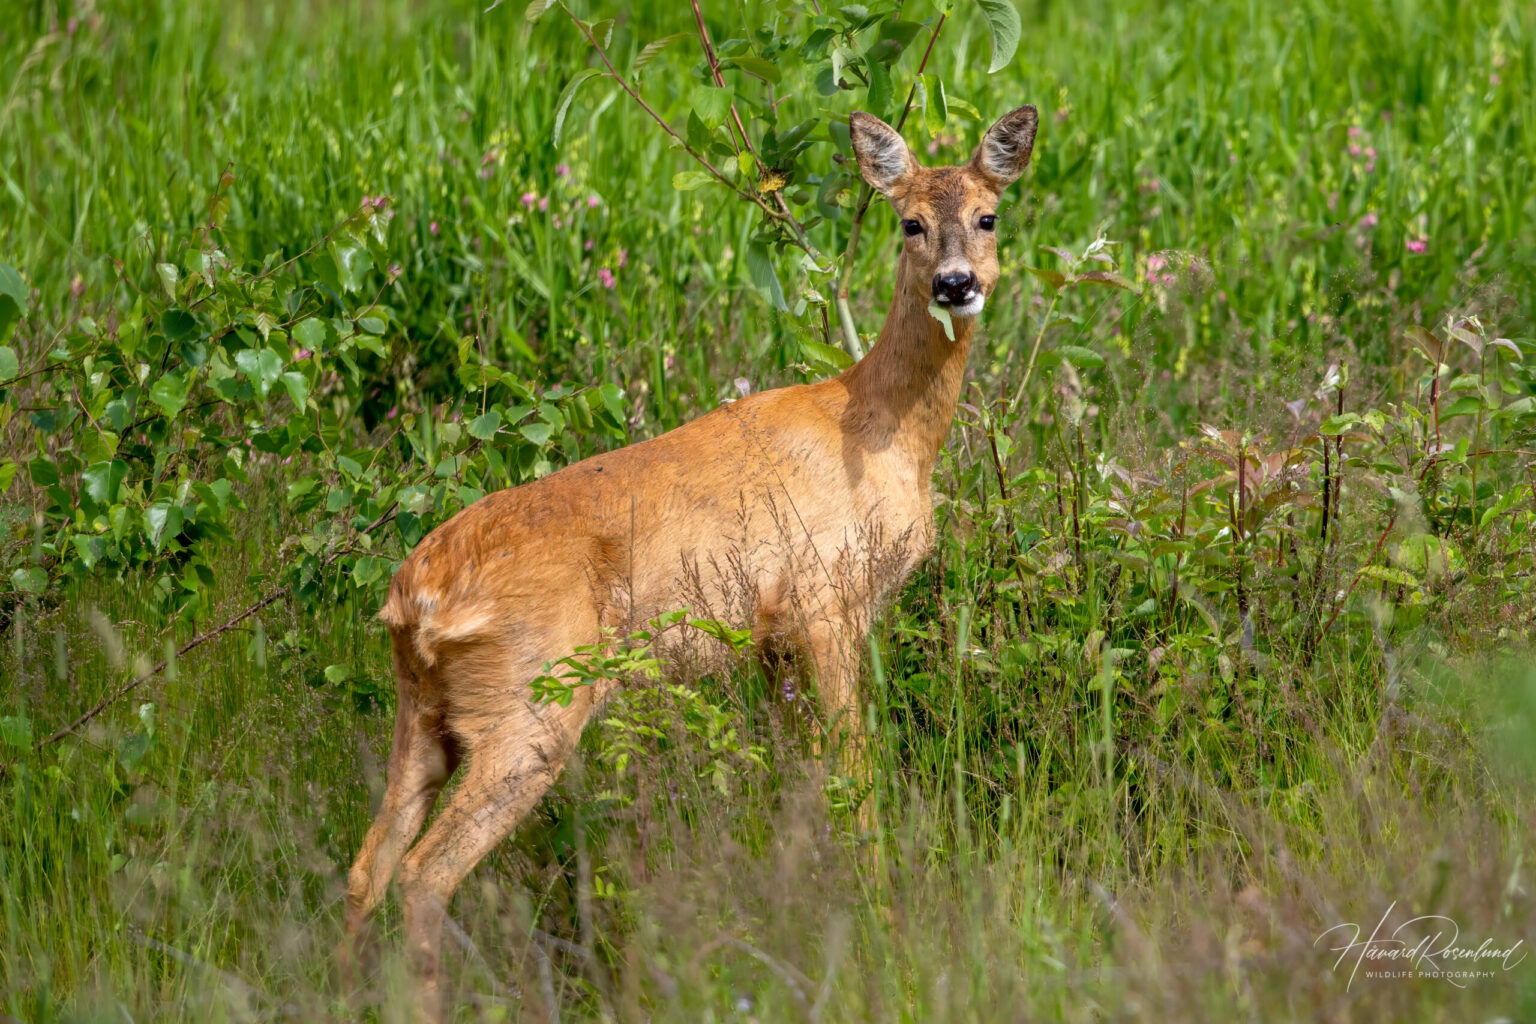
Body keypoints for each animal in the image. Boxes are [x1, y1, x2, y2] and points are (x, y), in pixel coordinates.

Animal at [343, 102, 1038, 1022]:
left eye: (989, 215)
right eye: (910, 223)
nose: (956, 284)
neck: (881, 430)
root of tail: (414, 597)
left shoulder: (771, 639)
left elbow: (802, 789)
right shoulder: (824, 600)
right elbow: (855, 782)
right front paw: (886, 938)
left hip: (422, 709)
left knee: (368, 866)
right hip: (531, 699)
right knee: (425, 874)